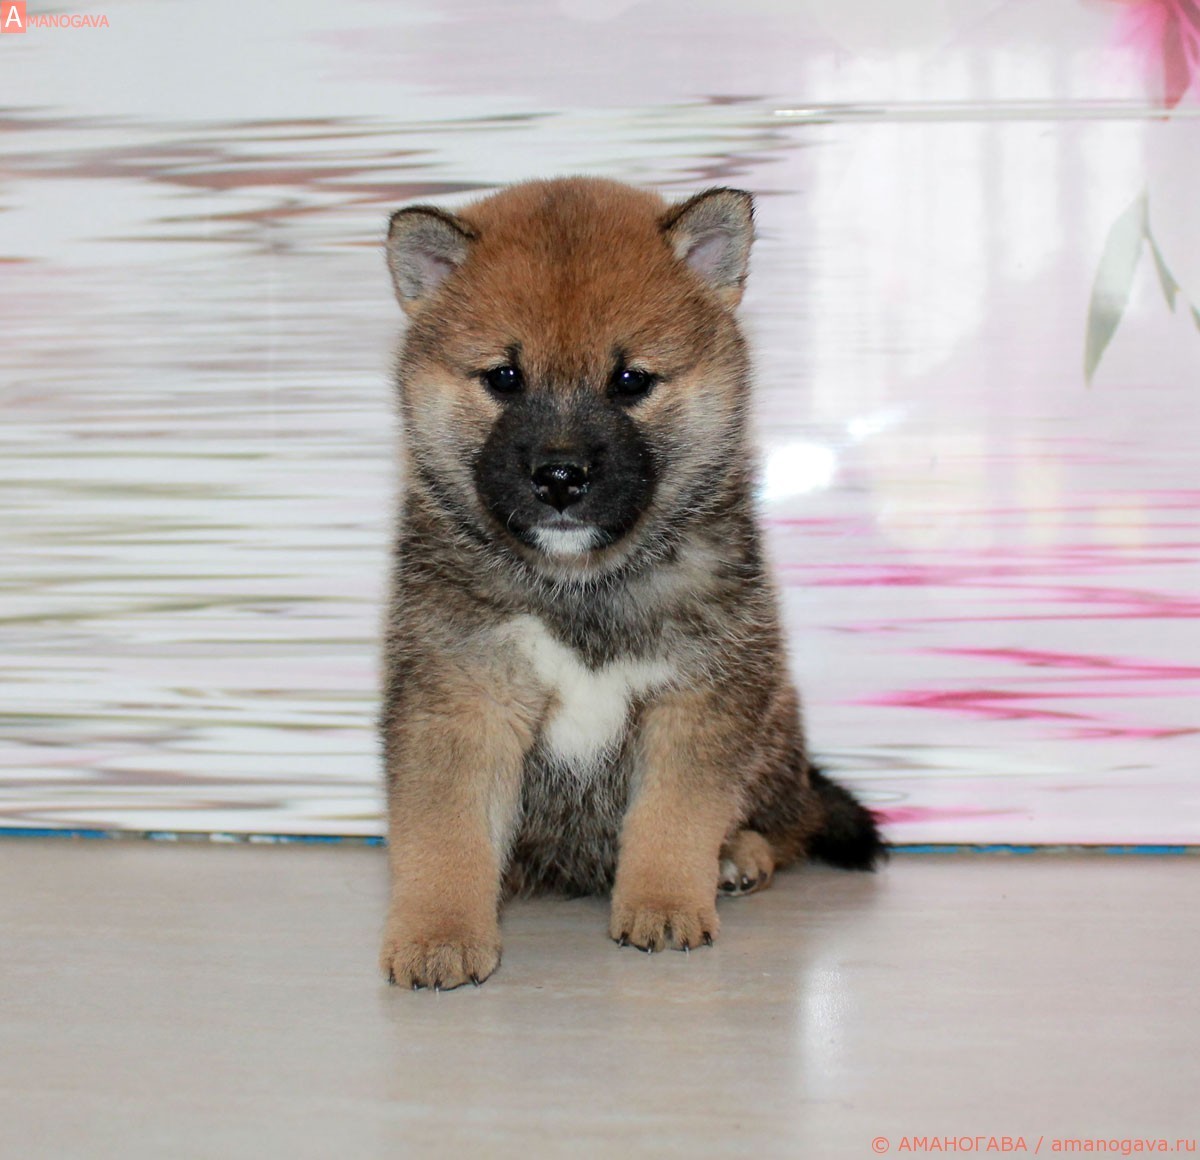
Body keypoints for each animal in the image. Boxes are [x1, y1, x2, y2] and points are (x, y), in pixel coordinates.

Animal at [378, 177, 886, 991]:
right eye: (504, 378)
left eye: (629, 381)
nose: (559, 476)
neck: (580, 587)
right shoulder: (462, 697)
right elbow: (444, 837)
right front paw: (438, 934)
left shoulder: (697, 700)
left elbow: (672, 820)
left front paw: (665, 904)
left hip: (775, 723)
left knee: (792, 822)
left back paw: (739, 854)